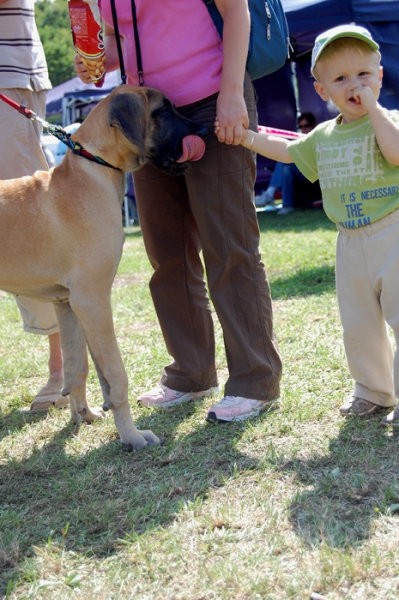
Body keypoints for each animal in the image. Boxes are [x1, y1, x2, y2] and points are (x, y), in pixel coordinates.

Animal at [0, 84, 209, 450]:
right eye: (162, 111)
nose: (206, 130)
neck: (95, 168)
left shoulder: (67, 303)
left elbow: (78, 367)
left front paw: (82, 415)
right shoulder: (93, 300)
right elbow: (115, 373)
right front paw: (131, 435)